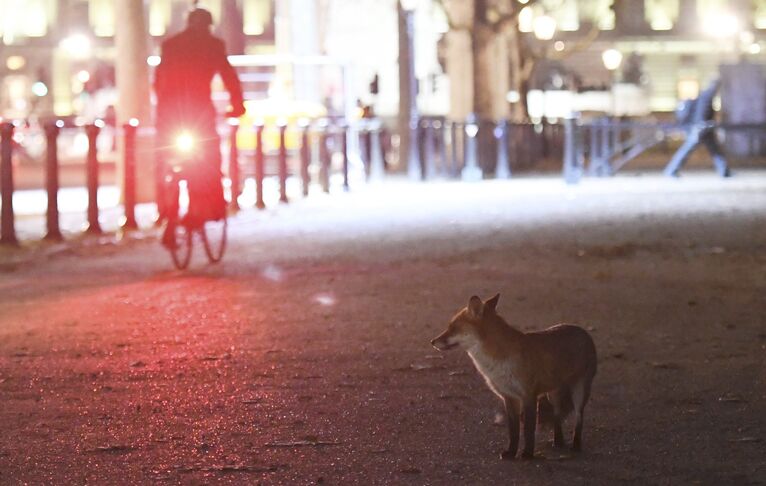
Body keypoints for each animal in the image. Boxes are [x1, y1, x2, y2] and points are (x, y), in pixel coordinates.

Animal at [432, 292, 600, 460]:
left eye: (453, 328)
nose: (432, 341)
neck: (496, 362)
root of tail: (582, 330)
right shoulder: (509, 397)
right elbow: (513, 431)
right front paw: (511, 453)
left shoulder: (529, 396)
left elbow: (528, 431)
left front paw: (527, 454)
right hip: (553, 395)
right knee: (557, 416)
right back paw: (557, 442)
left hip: (579, 392)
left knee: (579, 418)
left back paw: (576, 445)